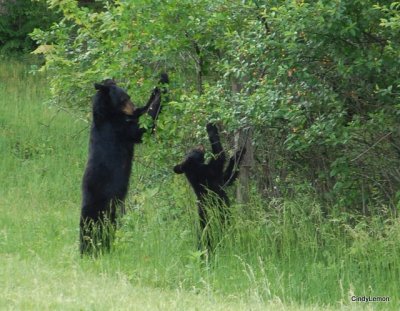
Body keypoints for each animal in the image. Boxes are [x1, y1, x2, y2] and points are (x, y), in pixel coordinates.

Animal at [80, 75, 168, 256]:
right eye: (124, 99)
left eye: (128, 96)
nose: (132, 109)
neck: (108, 114)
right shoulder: (118, 129)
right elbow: (142, 130)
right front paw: (161, 87)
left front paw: (156, 89)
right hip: (101, 204)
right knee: (93, 227)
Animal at [173, 123, 245, 252]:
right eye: (194, 150)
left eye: (191, 149)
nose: (200, 144)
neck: (194, 170)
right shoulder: (209, 173)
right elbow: (219, 155)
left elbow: (226, 177)